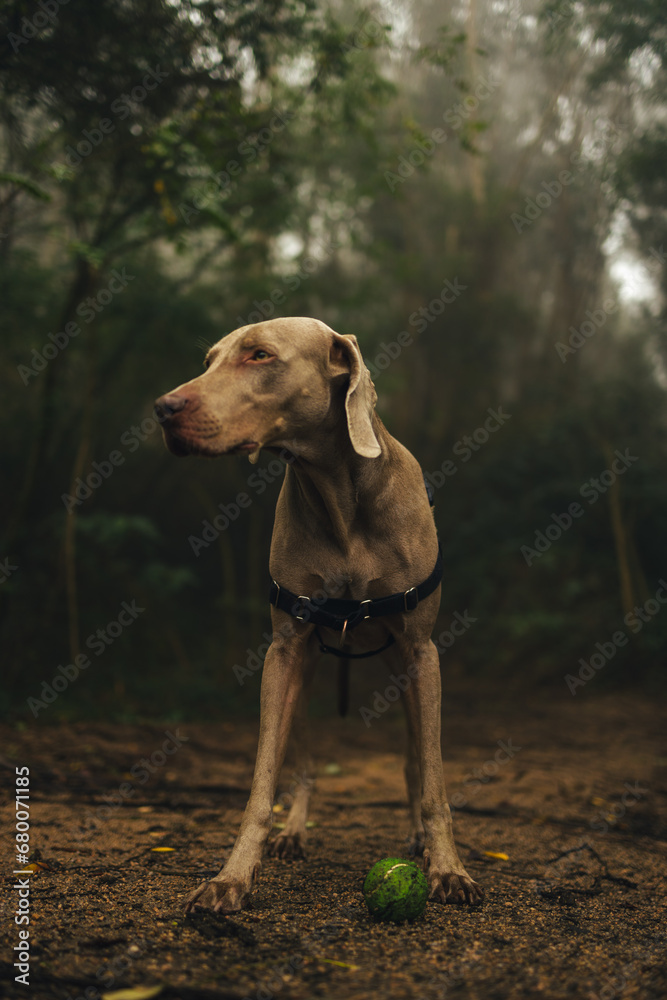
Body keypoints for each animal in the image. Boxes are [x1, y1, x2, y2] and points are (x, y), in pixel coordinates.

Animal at [154, 316, 482, 912]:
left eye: (260, 355)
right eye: (210, 360)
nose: (163, 409)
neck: (340, 497)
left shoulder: (422, 654)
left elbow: (434, 780)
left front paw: (449, 868)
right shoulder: (283, 653)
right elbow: (264, 778)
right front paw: (232, 876)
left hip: (403, 670)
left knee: (412, 761)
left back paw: (419, 838)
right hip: (303, 673)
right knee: (302, 764)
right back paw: (294, 832)